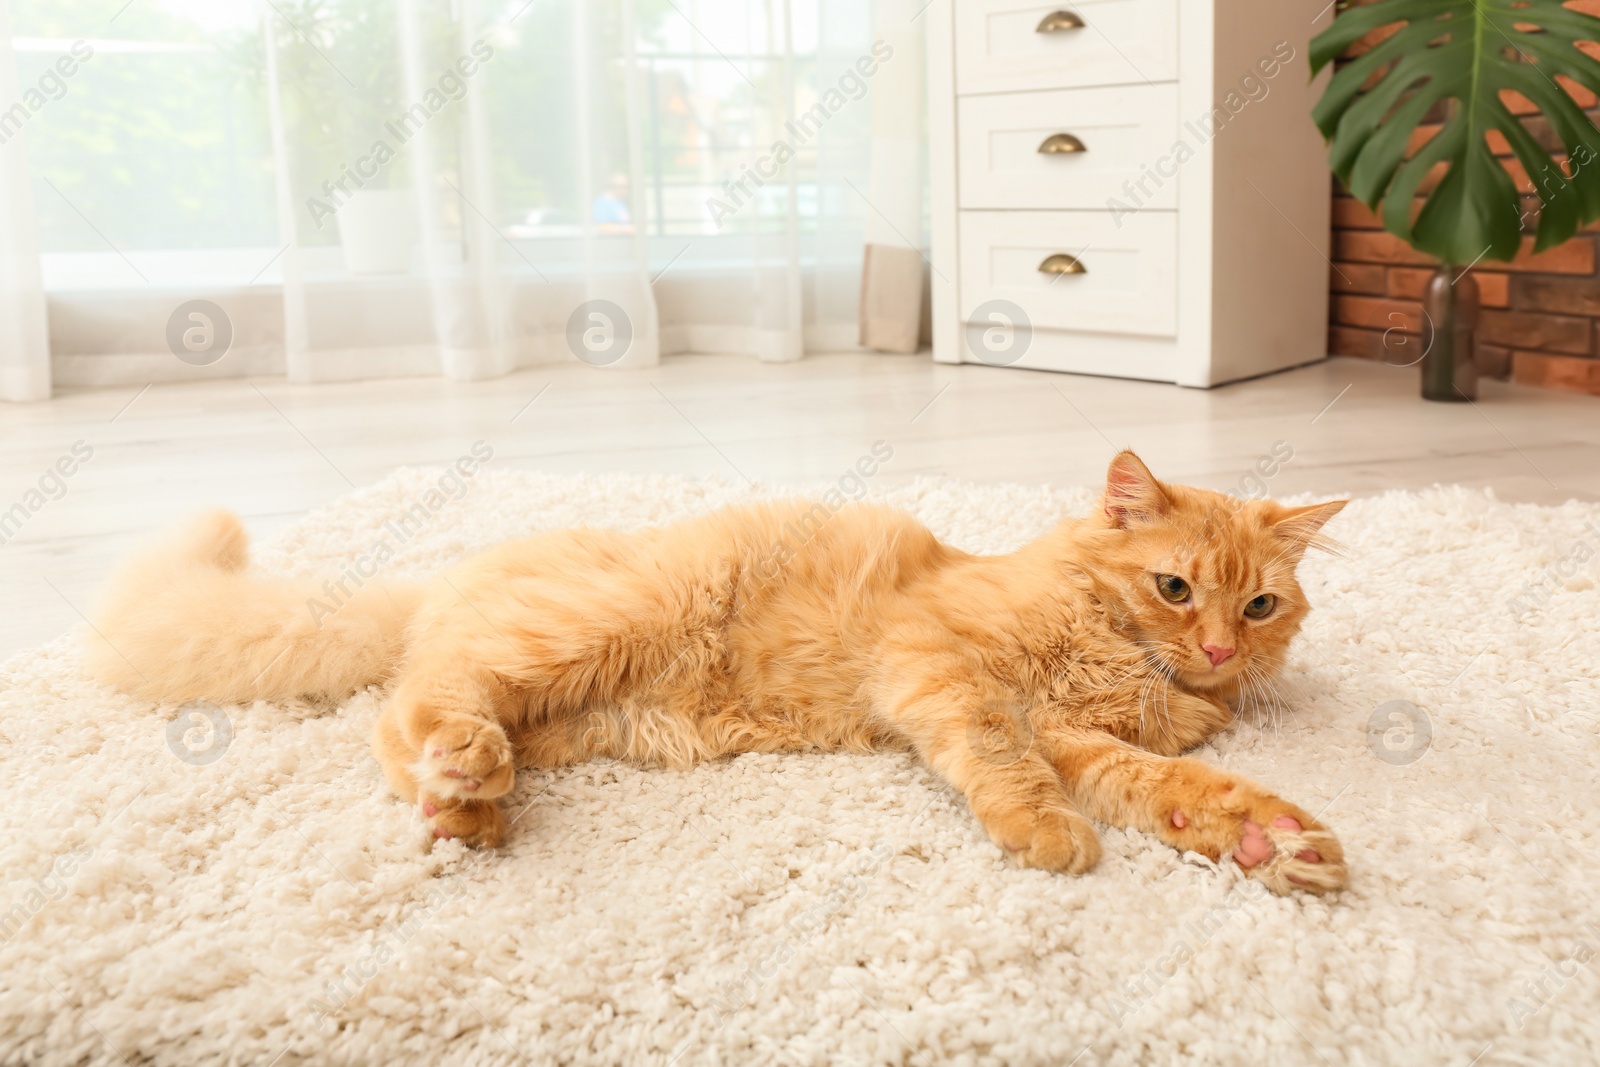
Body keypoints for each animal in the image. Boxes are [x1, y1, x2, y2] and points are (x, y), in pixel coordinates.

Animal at [87, 454, 1350, 895]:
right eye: (1175, 587)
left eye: (1259, 604)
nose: (1219, 649)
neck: (1118, 656)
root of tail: (443, 572)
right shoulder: (941, 666)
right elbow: (1002, 760)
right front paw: (1044, 833)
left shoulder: (1085, 741)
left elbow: (1171, 791)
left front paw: (1267, 841)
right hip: (579, 633)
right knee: (411, 702)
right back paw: (463, 773)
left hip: (578, 716)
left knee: (421, 741)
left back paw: (468, 811)